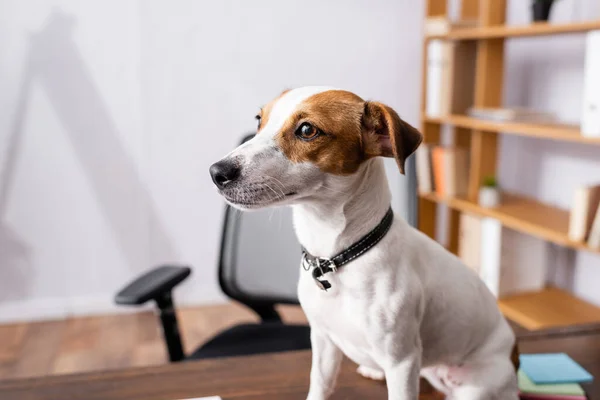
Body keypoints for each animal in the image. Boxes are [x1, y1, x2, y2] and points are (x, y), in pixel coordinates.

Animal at [209, 86, 516, 398]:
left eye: (307, 130)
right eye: (260, 120)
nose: (216, 172)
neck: (337, 256)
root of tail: (514, 357)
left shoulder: (402, 362)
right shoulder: (323, 339)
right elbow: (320, 384)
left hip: (475, 386)